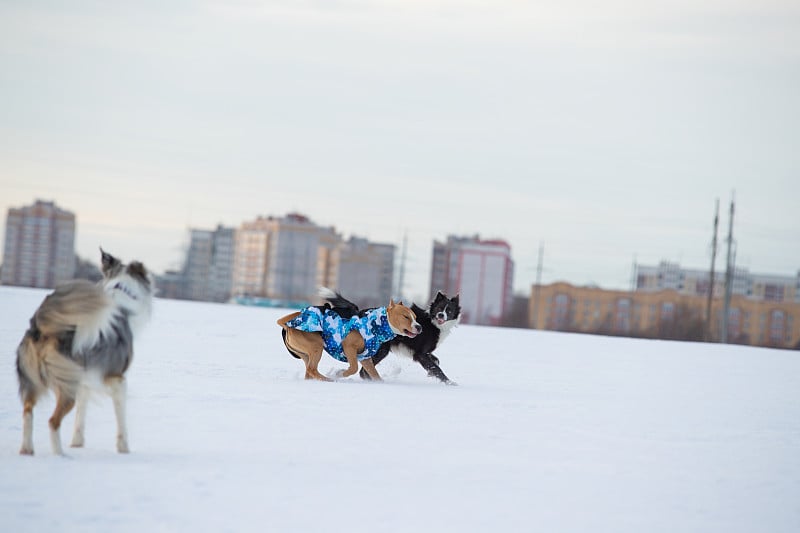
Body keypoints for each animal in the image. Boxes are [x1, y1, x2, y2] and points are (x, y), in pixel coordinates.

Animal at [15, 248, 153, 454]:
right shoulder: (117, 379)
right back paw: (60, 455)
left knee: (28, 412)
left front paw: (77, 443)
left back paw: (27, 450)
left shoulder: (84, 380)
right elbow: (121, 418)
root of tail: (42, 327)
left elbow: (81, 415)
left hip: (37, 378)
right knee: (52, 421)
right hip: (66, 385)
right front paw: (124, 448)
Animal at [316, 288, 460, 384]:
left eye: (449, 310)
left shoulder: (424, 353)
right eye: (439, 308)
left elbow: (435, 361)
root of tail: (359, 313)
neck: (432, 322)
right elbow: (436, 368)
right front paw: (449, 383)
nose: (441, 315)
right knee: (363, 371)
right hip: (382, 350)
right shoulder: (420, 354)